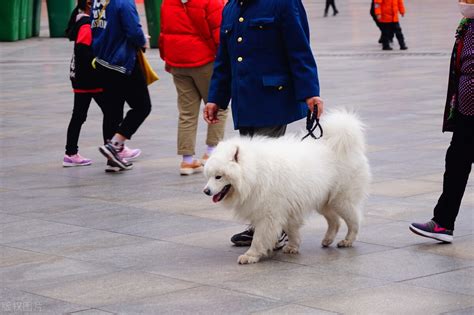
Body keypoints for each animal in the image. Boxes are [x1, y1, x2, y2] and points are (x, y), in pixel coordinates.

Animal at [203, 110, 370, 264]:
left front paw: (250, 255)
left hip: (340, 200)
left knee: (354, 220)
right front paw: (292, 247)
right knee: (335, 221)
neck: (255, 172)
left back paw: (347, 240)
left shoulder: (269, 213)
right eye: (209, 176)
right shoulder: (286, 209)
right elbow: (292, 230)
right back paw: (327, 240)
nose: (206, 191)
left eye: (218, 176)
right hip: (324, 201)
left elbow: (259, 237)